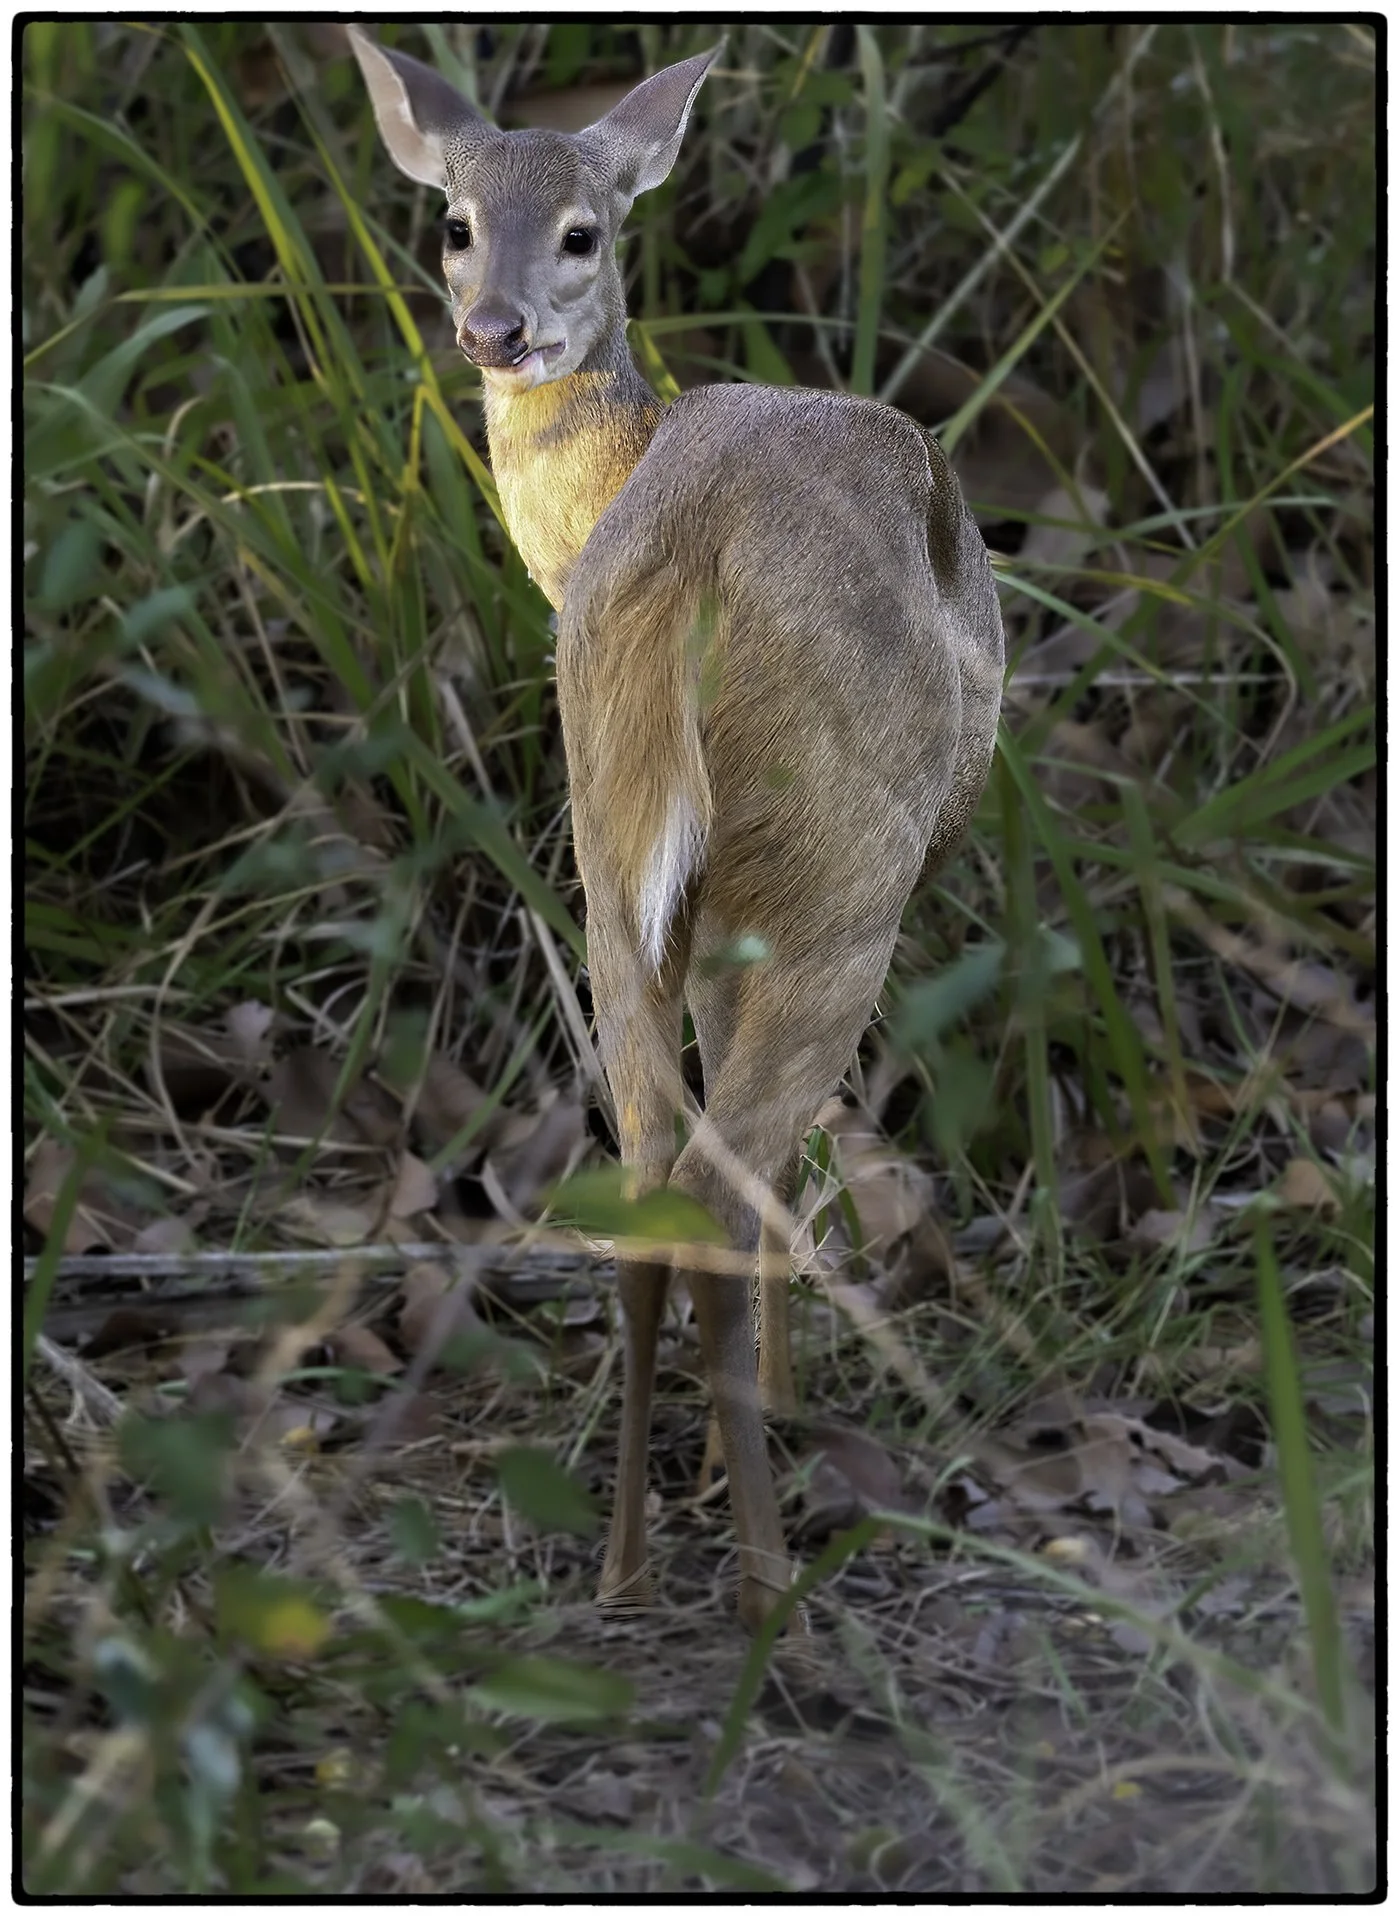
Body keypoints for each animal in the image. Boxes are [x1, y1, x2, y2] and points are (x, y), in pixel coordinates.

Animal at [348, 27, 1005, 1639]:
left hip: (606, 872)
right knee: (720, 1174)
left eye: (582, 230)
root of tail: (684, 564)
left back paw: (628, 1560)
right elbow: (784, 1183)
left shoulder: (677, 907)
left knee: (646, 1172)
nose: (497, 330)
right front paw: (772, 1418)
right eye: (455, 224)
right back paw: (772, 1579)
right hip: (840, 882)